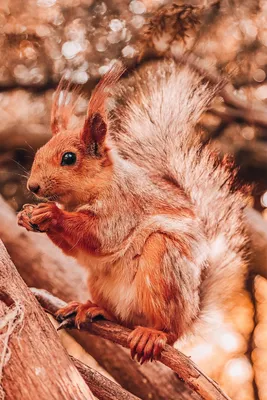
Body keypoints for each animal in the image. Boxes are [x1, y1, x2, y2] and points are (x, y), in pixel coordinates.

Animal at [17, 59, 250, 362]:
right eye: (38, 152)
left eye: (69, 158)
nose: (32, 186)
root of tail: (190, 317)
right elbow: (75, 249)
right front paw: (26, 216)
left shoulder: (123, 208)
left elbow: (98, 235)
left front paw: (52, 214)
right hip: (99, 282)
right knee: (122, 319)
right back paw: (92, 308)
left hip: (163, 263)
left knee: (168, 330)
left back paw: (154, 334)